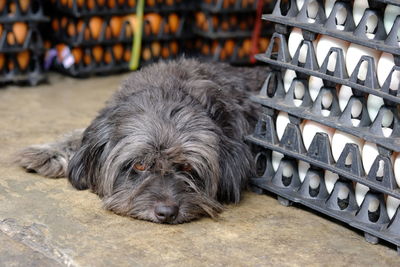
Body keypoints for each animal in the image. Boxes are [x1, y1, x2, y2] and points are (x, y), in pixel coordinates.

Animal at [15, 58, 268, 224]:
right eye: (139, 165)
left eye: (187, 167)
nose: (166, 213)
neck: (168, 90)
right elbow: (81, 133)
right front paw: (47, 151)